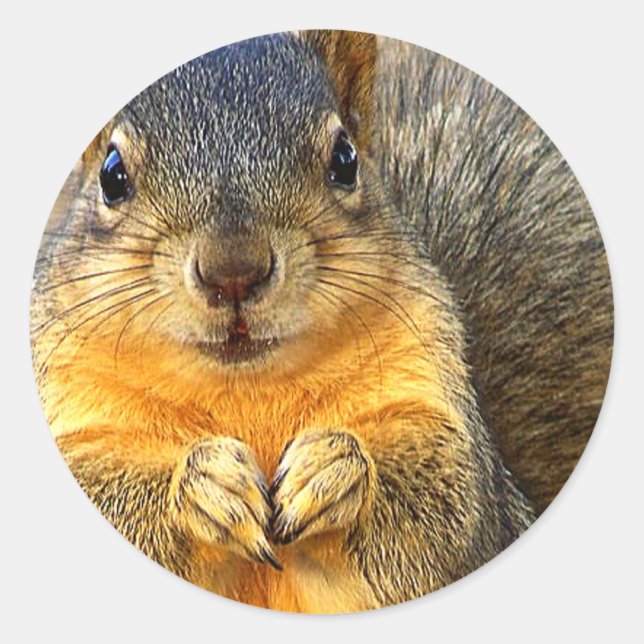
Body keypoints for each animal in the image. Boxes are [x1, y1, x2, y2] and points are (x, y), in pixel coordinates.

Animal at [31, 30, 613, 612]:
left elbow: (448, 500)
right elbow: (107, 489)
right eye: (111, 175)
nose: (234, 271)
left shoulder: (434, 405)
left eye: (345, 159)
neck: (247, 391)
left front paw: (336, 470)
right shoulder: (73, 408)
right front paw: (204, 485)